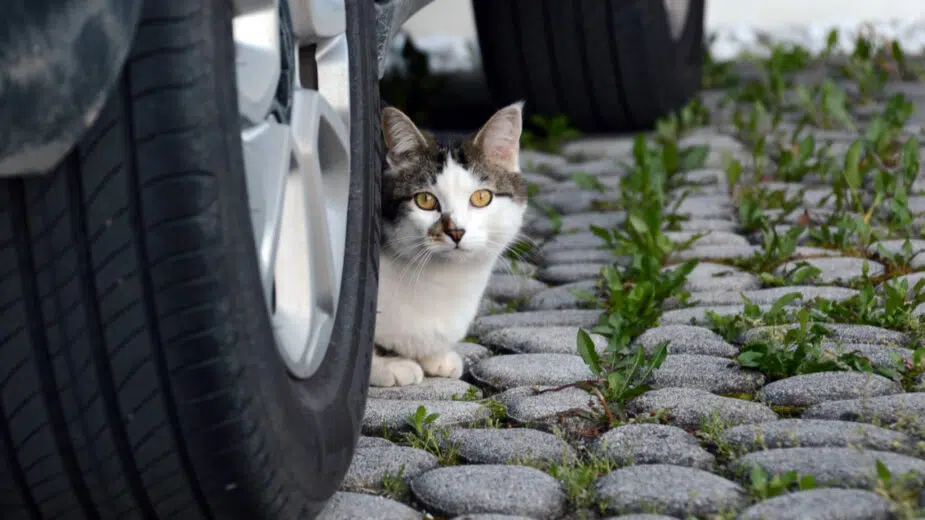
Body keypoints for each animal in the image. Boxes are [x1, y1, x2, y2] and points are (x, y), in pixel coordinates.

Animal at [368, 102, 528, 386]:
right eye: (425, 200)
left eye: (481, 197)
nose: (455, 230)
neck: (444, 281)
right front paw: (388, 366)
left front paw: (436, 356)